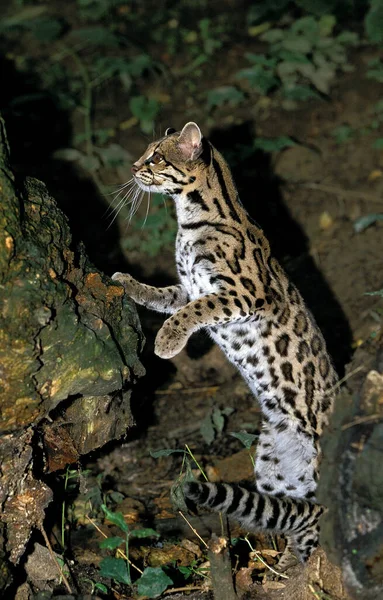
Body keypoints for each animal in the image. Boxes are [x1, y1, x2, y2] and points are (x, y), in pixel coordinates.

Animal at [113, 120, 340, 568]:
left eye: (156, 157)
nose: (131, 167)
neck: (190, 220)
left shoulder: (243, 293)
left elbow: (192, 313)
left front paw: (166, 342)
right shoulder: (188, 288)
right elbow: (164, 297)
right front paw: (129, 283)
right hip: (274, 464)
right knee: (298, 516)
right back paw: (287, 565)